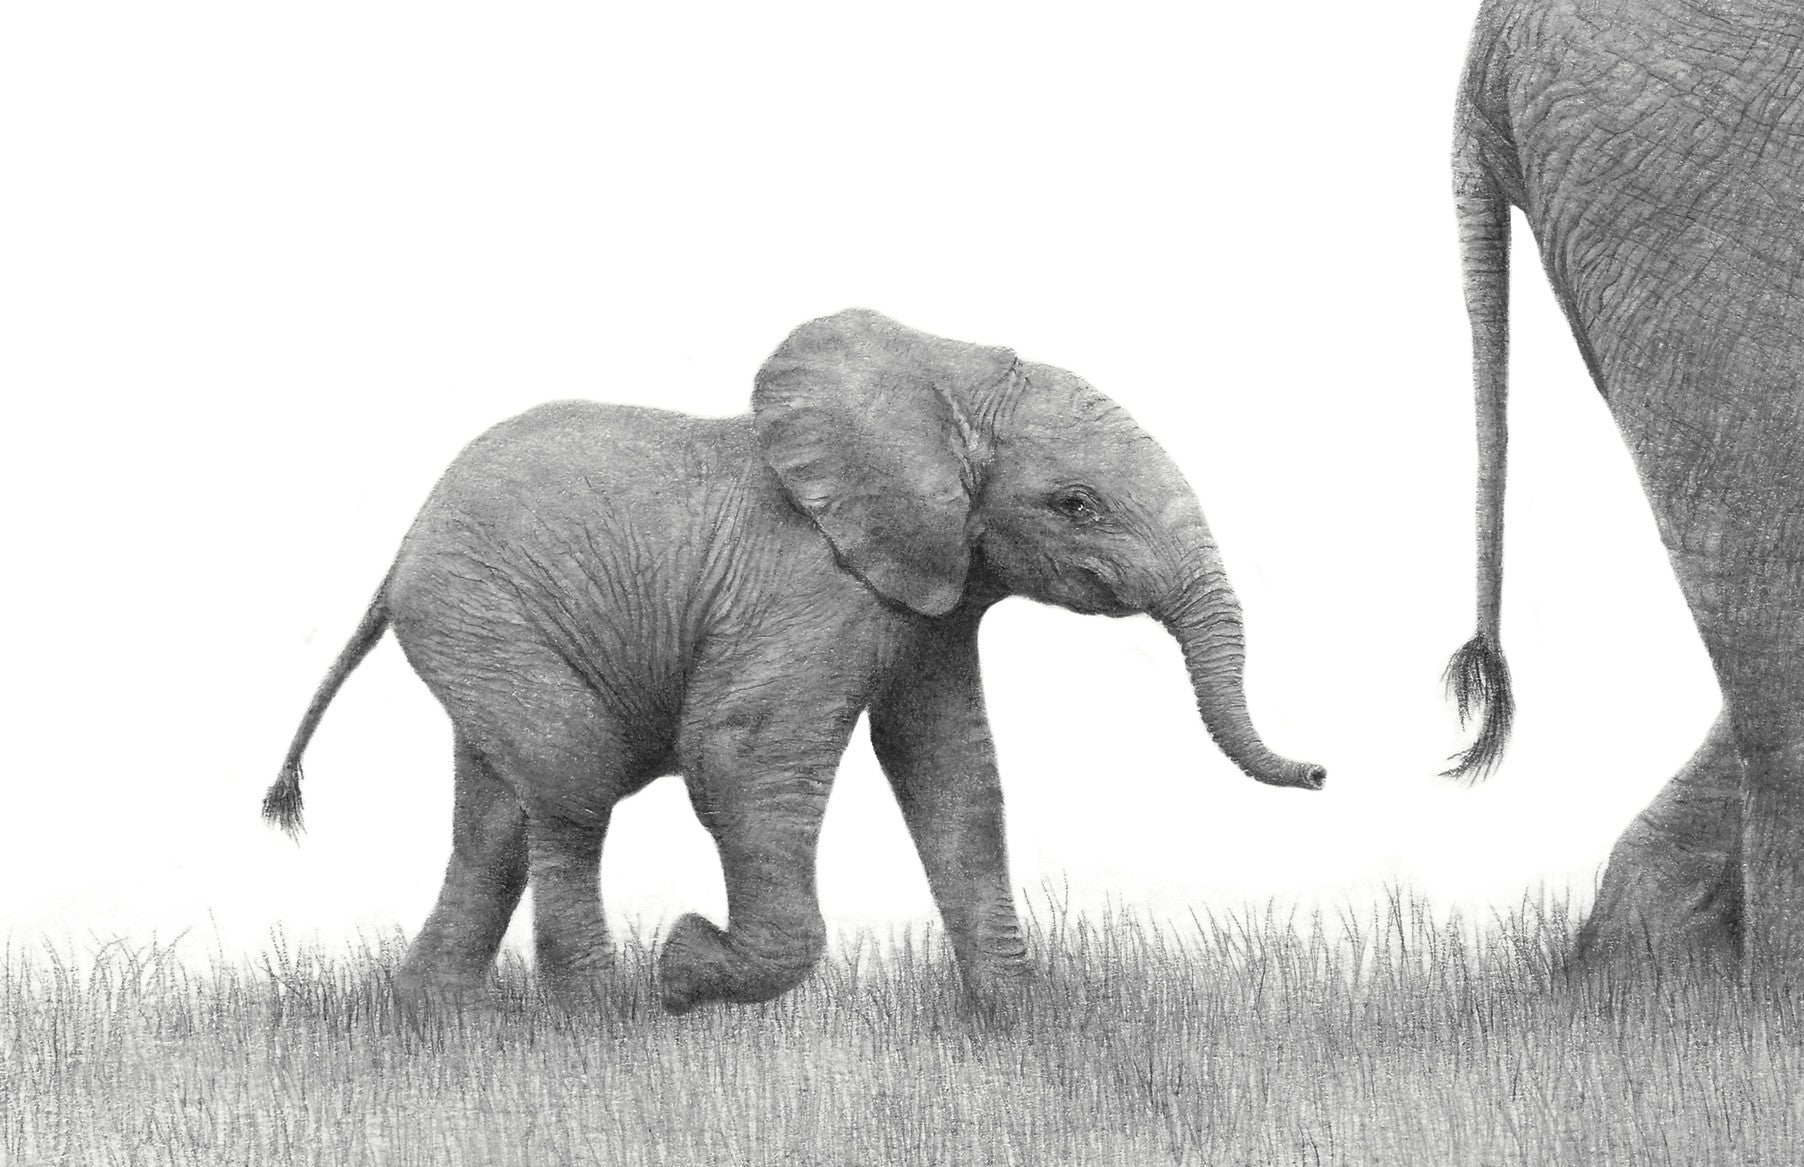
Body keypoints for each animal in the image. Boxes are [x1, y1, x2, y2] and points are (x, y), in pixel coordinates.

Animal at [264, 308, 1324, 1012]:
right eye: (1077, 504)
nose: (1320, 771)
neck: (943, 372)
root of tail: (399, 551)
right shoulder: (811, 587)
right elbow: (743, 754)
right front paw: (685, 966)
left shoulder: (930, 597)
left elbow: (956, 776)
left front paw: (1024, 1026)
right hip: (484, 613)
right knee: (571, 782)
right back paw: (603, 1020)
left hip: (480, 631)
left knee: (495, 819)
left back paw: (426, 1024)